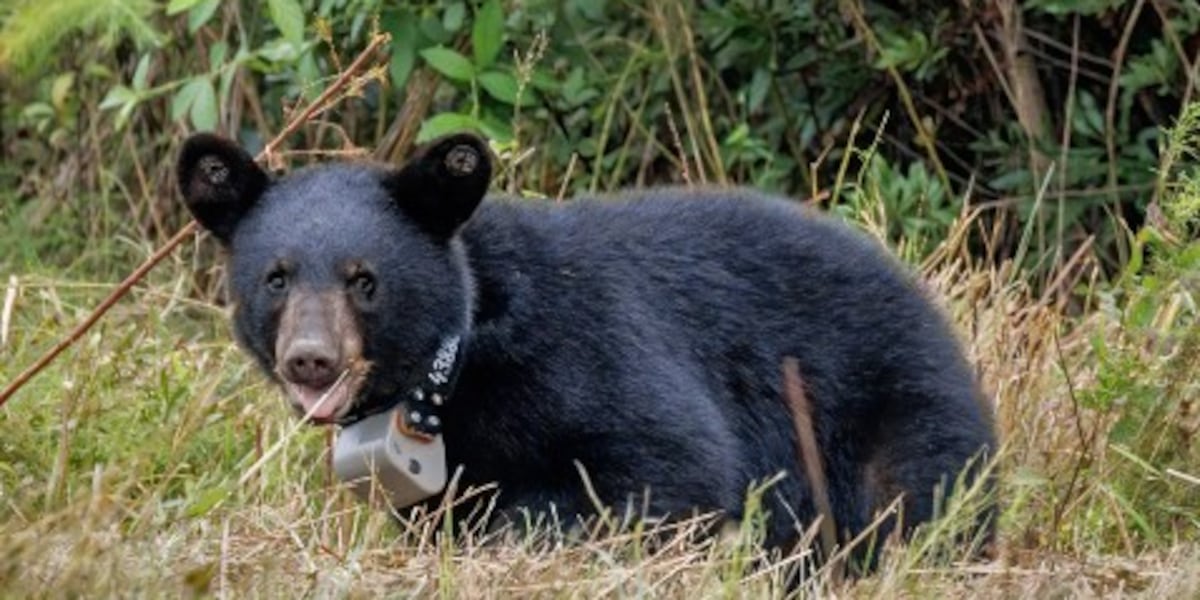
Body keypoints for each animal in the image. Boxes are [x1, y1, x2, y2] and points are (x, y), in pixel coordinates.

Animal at [176, 131, 995, 562]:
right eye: (277, 277)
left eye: (364, 280)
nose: (311, 359)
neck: (463, 360)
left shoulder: (586, 347)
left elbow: (675, 462)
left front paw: (519, 529)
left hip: (894, 402)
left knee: (918, 492)